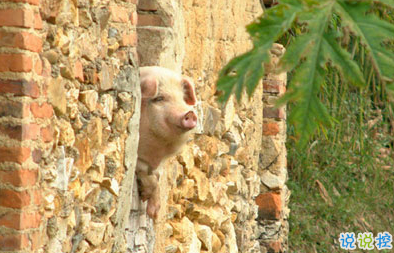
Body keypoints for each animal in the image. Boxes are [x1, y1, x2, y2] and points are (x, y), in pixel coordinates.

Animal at [136, 66, 197, 218]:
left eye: (181, 99)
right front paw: (146, 201)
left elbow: (157, 177)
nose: (190, 113)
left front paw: (154, 213)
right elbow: (149, 177)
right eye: (159, 98)